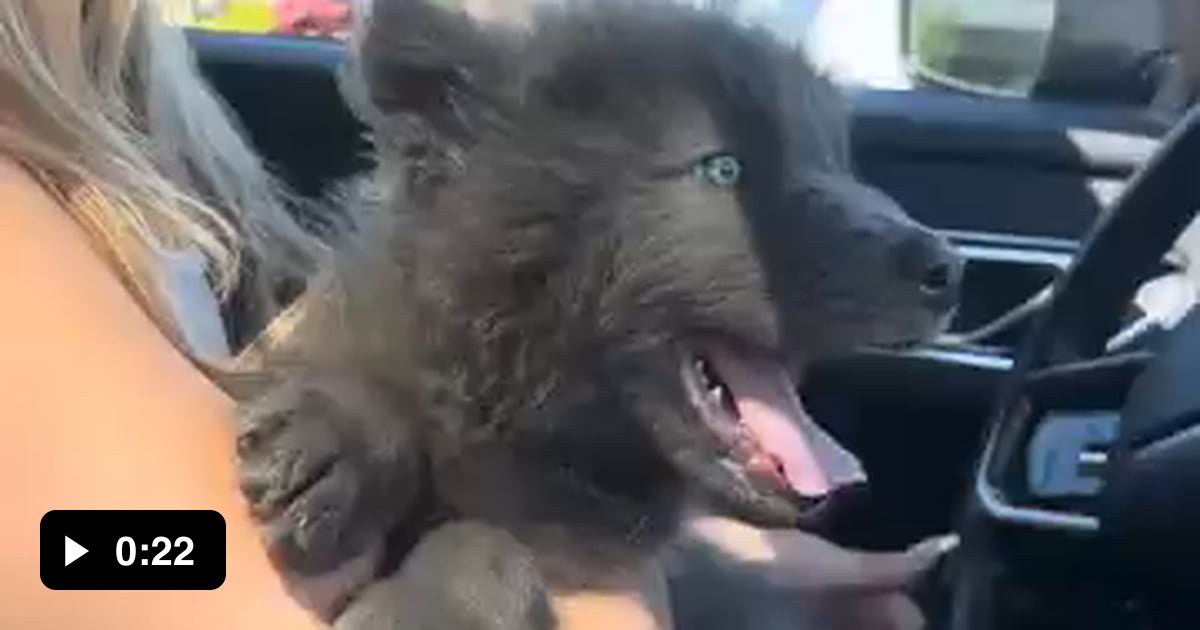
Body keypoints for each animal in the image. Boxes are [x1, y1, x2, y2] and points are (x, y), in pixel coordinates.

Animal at [233, 1, 962, 627]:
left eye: (836, 162)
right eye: (724, 169)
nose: (949, 269)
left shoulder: (590, 547)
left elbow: (491, 541)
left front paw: (435, 608)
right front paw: (345, 431)